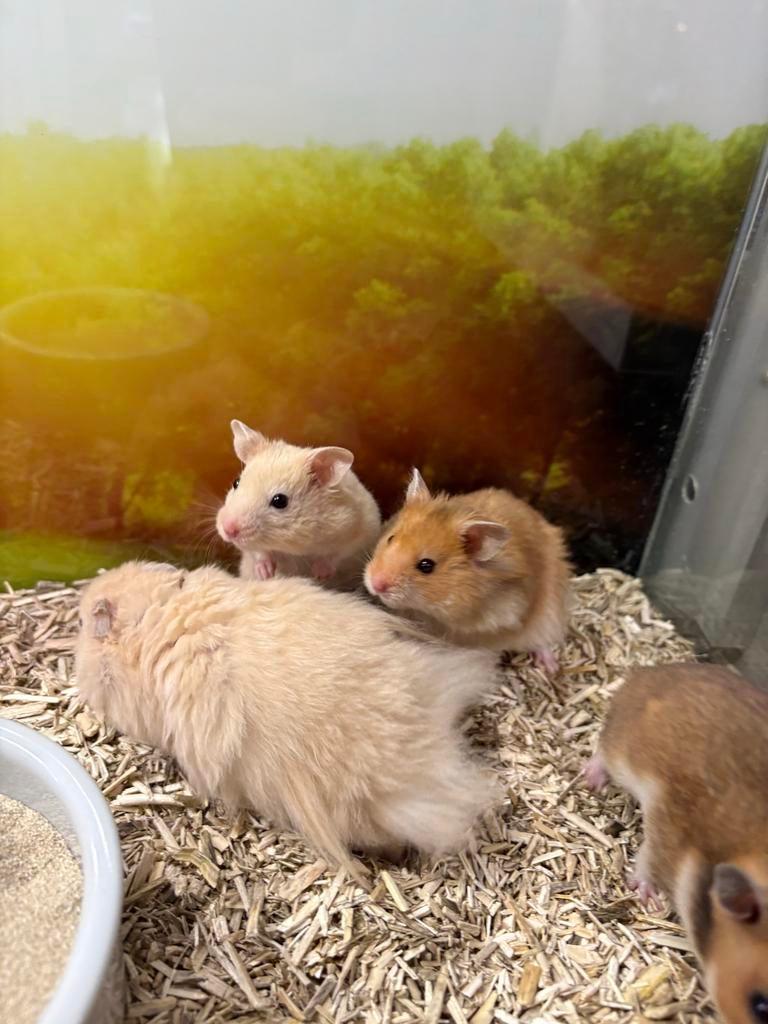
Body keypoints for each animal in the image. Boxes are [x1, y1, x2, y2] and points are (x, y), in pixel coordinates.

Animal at [216, 420, 381, 590]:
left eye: (279, 500)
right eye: (236, 483)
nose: (227, 529)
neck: (293, 548)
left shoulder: (358, 532)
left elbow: (336, 554)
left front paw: (320, 575)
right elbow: (259, 552)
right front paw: (266, 573)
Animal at [364, 469, 571, 672]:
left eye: (426, 565)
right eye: (391, 538)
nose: (376, 585)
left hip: (548, 617)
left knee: (542, 641)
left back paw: (551, 667)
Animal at [585, 663, 768, 1024]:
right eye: (760, 1005)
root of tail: (646, 672)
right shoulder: (667, 834)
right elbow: (646, 863)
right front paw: (649, 900)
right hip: (621, 751)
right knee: (601, 752)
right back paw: (592, 778)